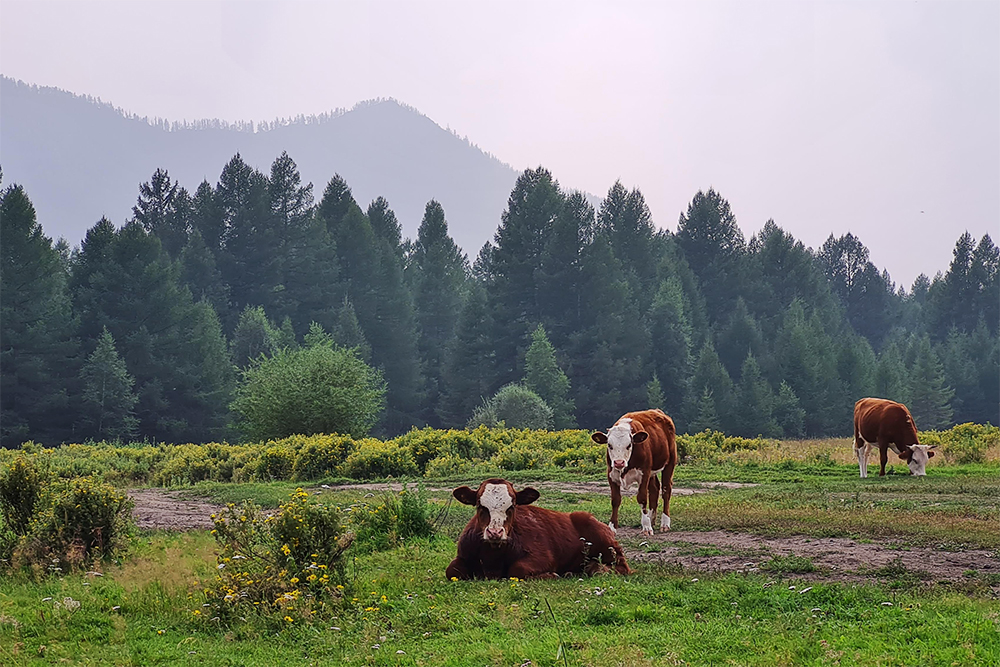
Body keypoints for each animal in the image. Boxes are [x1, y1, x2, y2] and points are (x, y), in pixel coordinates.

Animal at [448, 480, 632, 580]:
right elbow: (451, 570)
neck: (493, 558)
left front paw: (551, 575)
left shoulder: (543, 557)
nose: (495, 533)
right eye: (480, 506)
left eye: (512, 506)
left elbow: (518, 569)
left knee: (622, 566)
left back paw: (597, 569)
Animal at [592, 408, 680, 536]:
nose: (619, 462)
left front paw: (647, 527)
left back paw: (664, 523)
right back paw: (651, 518)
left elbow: (642, 498)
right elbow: (615, 500)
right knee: (654, 489)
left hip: (670, 463)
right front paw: (612, 527)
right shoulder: (611, 475)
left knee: (666, 490)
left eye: (629, 445)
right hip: (652, 471)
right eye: (609, 445)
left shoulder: (644, 473)